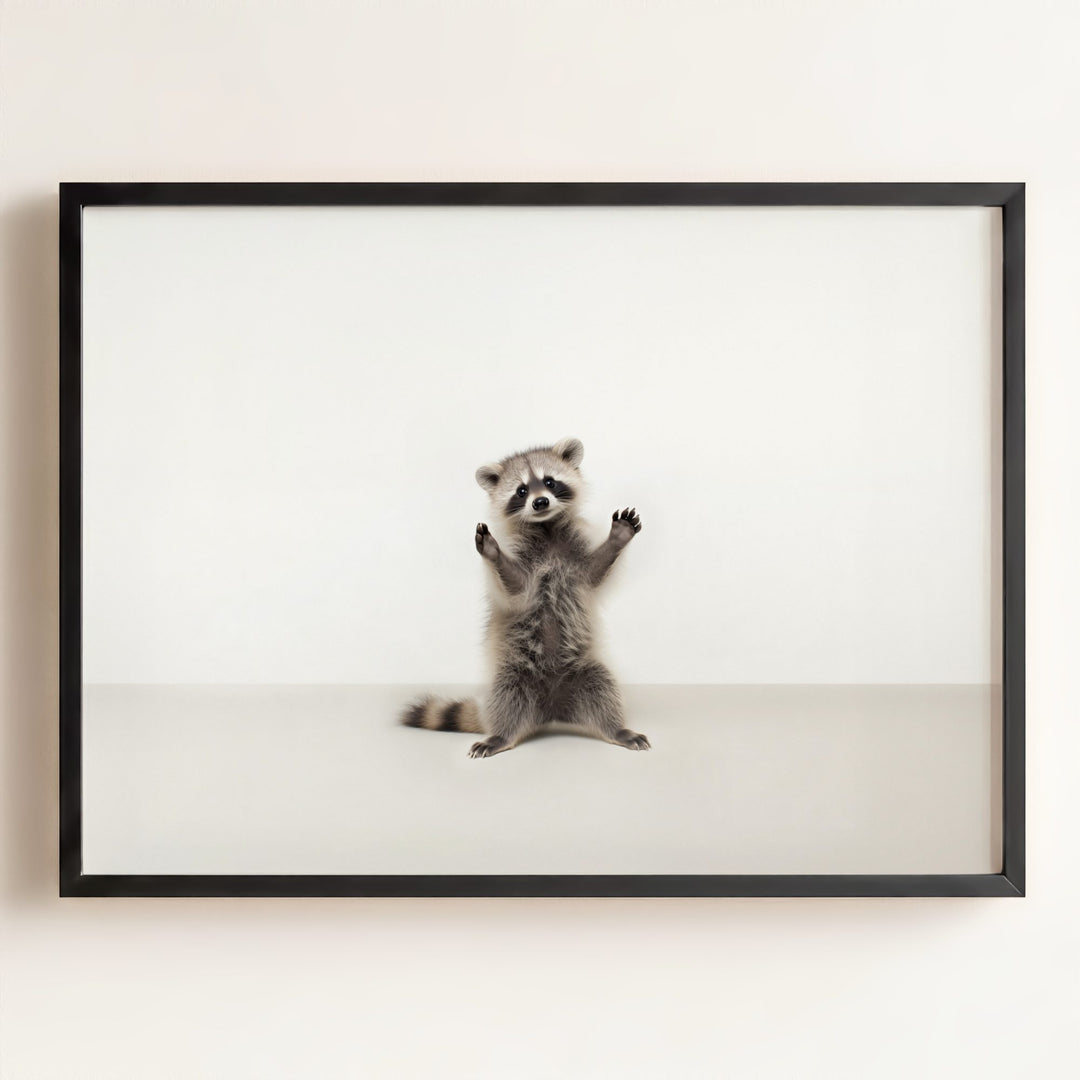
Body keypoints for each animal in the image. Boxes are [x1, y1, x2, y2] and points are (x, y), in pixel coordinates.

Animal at [400, 437, 650, 758]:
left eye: (550, 482)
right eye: (521, 490)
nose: (540, 502)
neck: (547, 527)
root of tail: (552, 710)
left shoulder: (575, 557)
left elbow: (594, 574)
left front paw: (617, 539)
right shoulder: (523, 561)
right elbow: (516, 589)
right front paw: (493, 554)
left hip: (585, 669)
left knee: (603, 688)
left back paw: (617, 729)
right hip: (513, 673)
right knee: (506, 697)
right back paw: (501, 735)